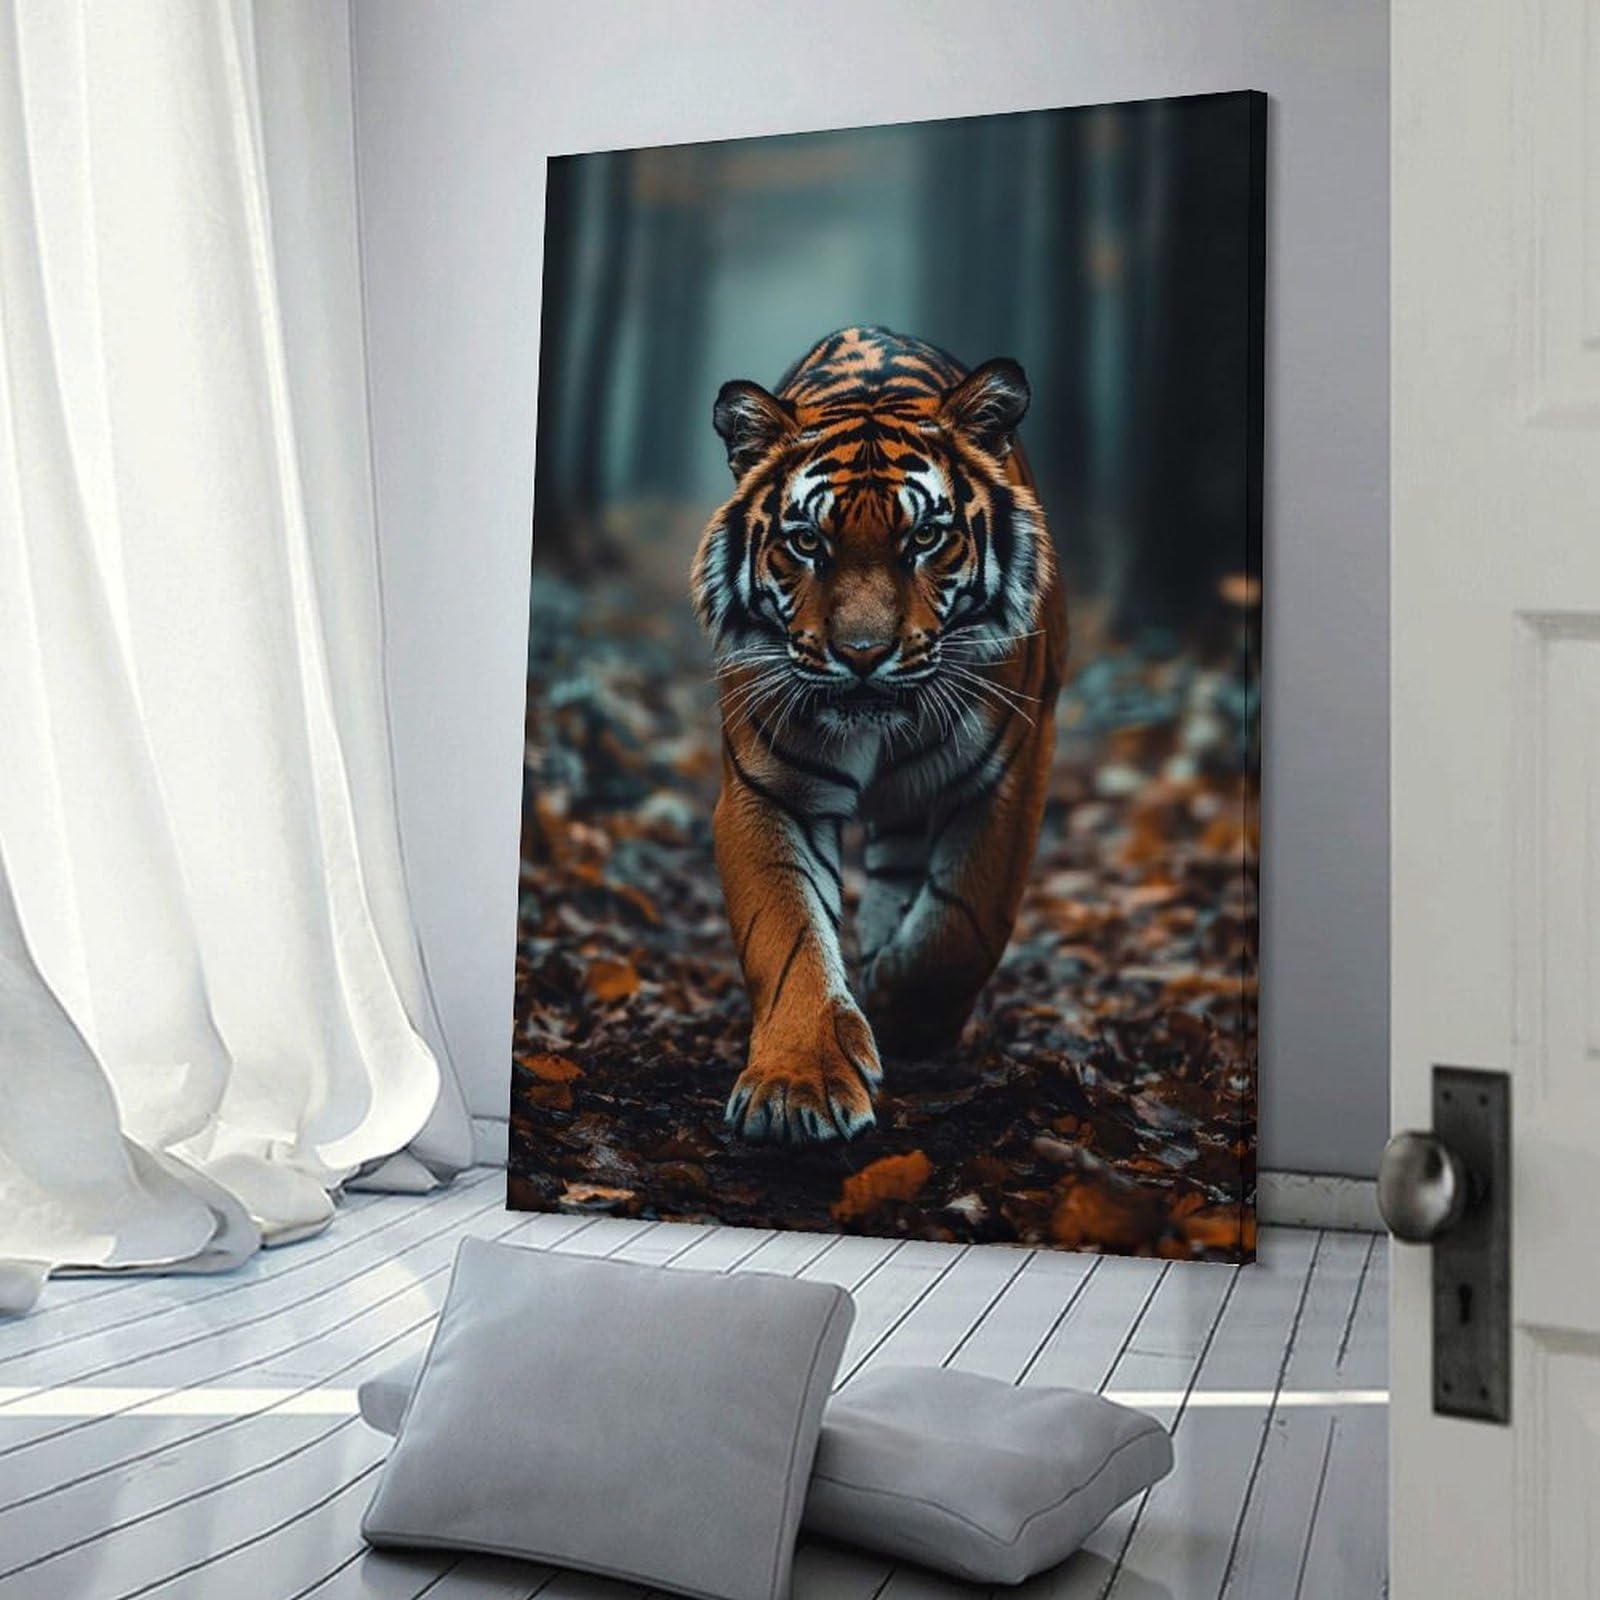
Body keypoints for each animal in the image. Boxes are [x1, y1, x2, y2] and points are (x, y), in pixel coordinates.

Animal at [691, 326, 1066, 1144]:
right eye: (806, 543)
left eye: (925, 537)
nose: (862, 655)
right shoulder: (767, 790)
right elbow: (788, 934)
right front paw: (797, 1085)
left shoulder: (1011, 771)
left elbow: (964, 923)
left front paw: (900, 1004)